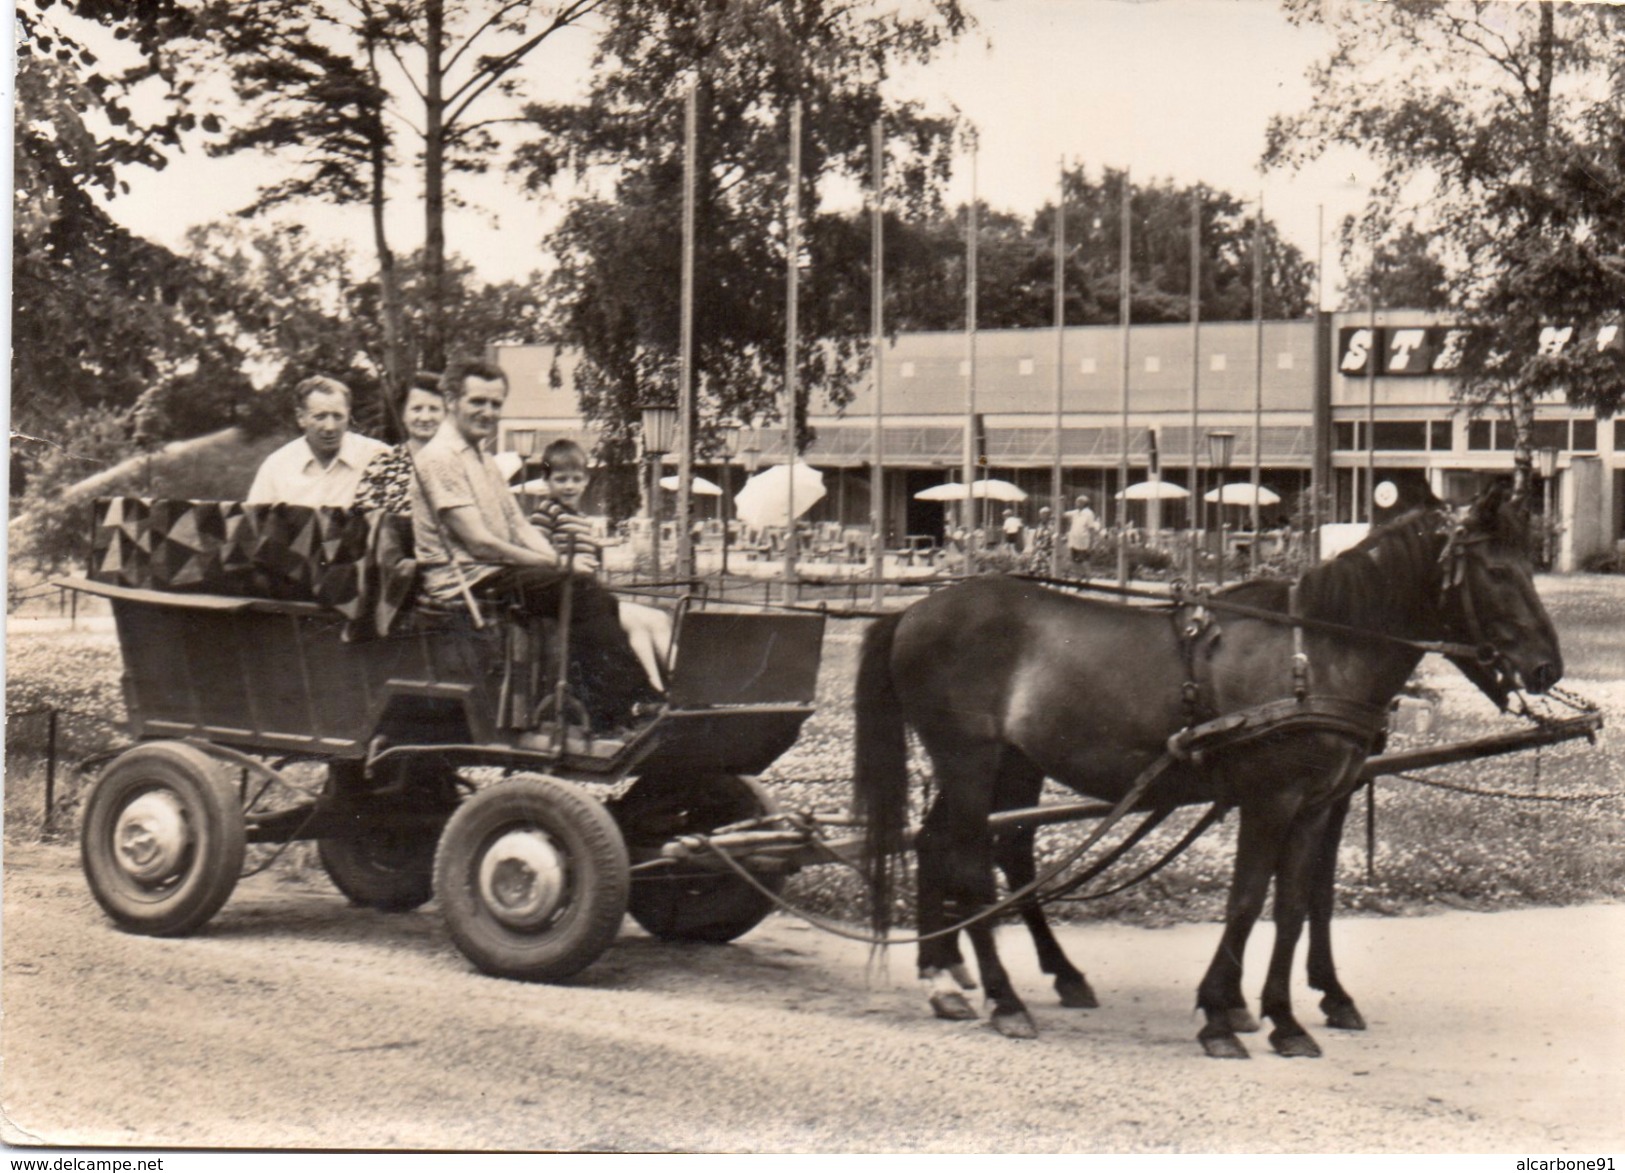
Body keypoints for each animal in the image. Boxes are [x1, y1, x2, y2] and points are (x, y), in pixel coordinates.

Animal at [858, 480, 1566, 1052]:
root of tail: (913, 611)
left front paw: (1283, 1017)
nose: (1546, 667)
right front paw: (1223, 1015)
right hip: (969, 762)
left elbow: (1294, 905)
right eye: (1496, 571)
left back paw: (955, 977)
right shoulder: (1272, 799)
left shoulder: (1317, 803)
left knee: (955, 845)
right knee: (973, 864)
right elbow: (1248, 901)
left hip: (1007, 764)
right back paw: (1003, 998)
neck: (1316, 651)